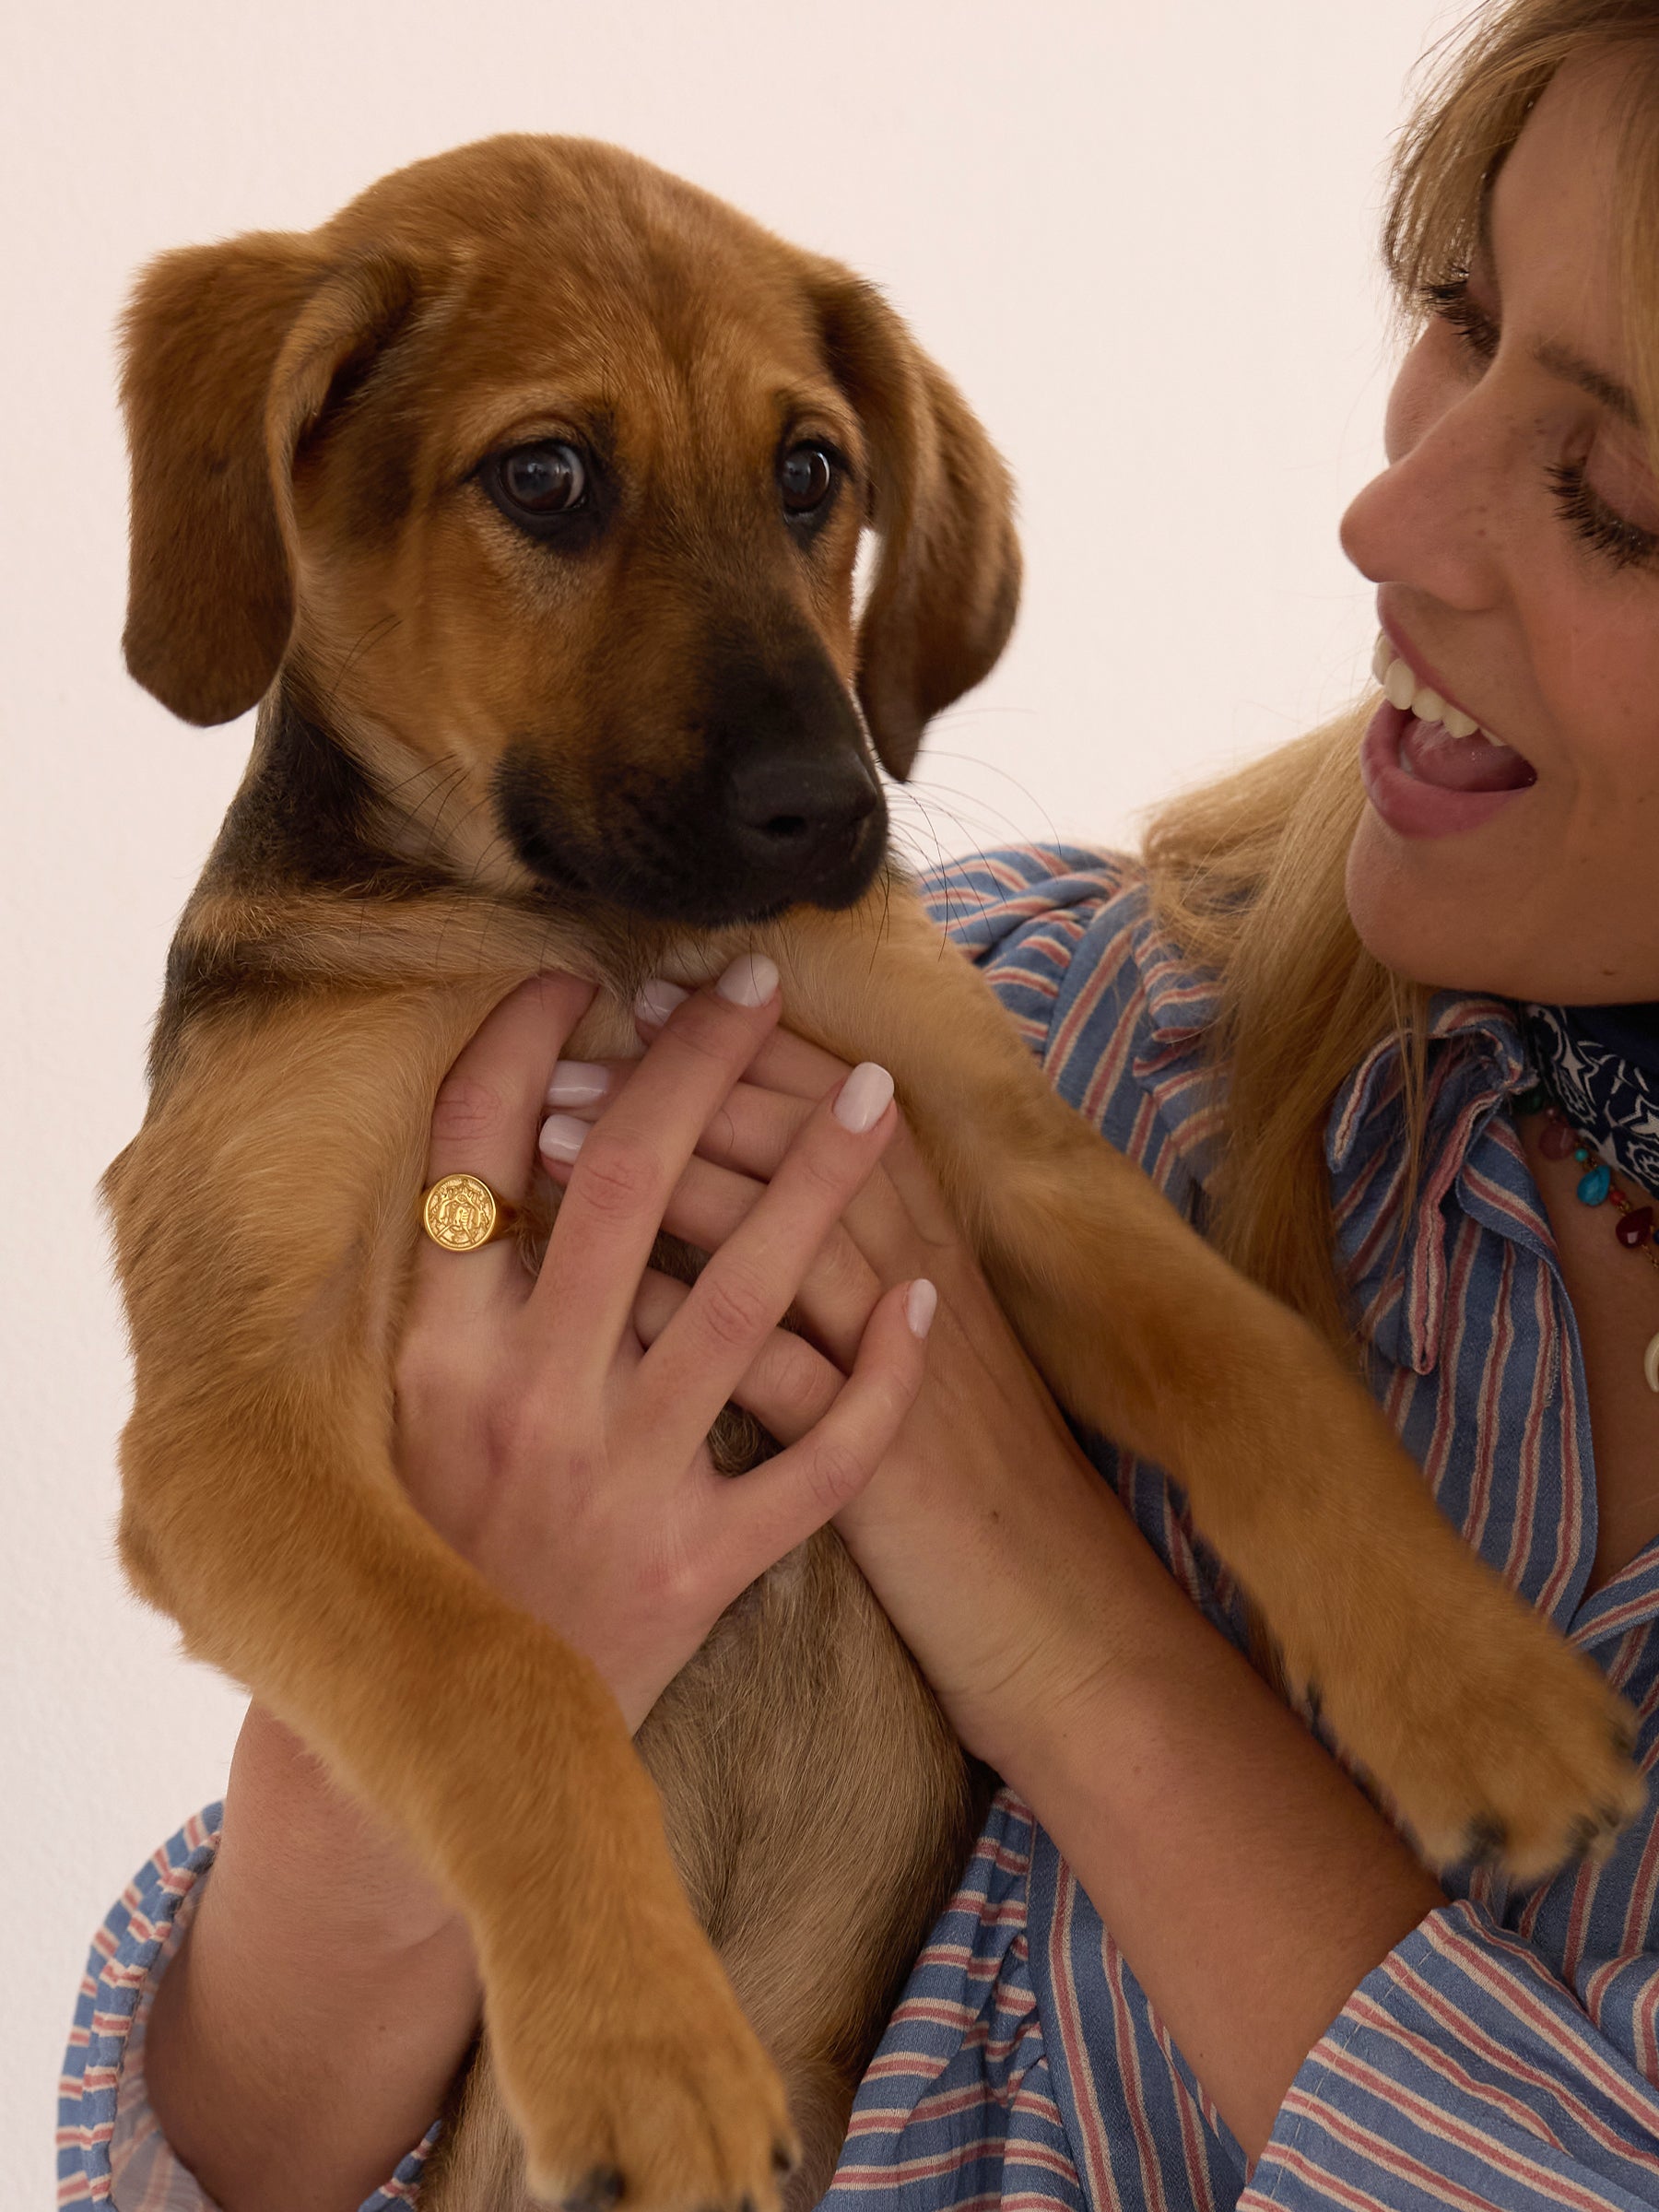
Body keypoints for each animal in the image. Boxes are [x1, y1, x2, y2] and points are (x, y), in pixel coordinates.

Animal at [111, 138, 1645, 2212]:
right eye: (545, 477)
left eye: (809, 474)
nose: (830, 816)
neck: (599, 937)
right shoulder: (225, 1420)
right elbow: (490, 1666)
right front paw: (641, 2044)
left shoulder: (981, 1138)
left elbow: (1257, 1367)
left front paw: (1475, 1692)